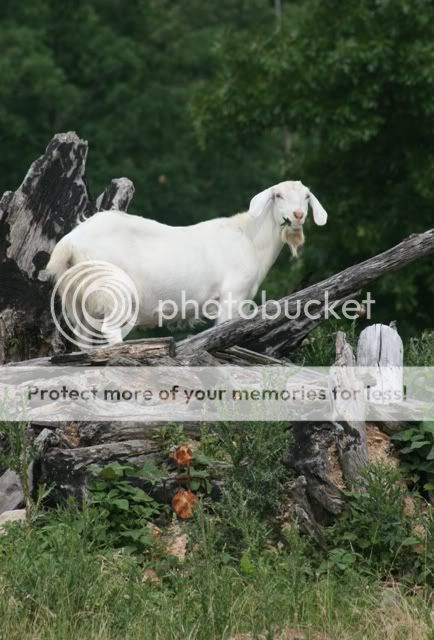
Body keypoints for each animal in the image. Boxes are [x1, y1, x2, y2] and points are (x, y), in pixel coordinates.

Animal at [47, 180, 327, 344]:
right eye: (278, 195)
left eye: (307, 197)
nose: (297, 215)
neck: (248, 238)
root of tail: (70, 243)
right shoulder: (232, 296)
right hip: (113, 292)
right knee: (110, 331)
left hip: (83, 299)